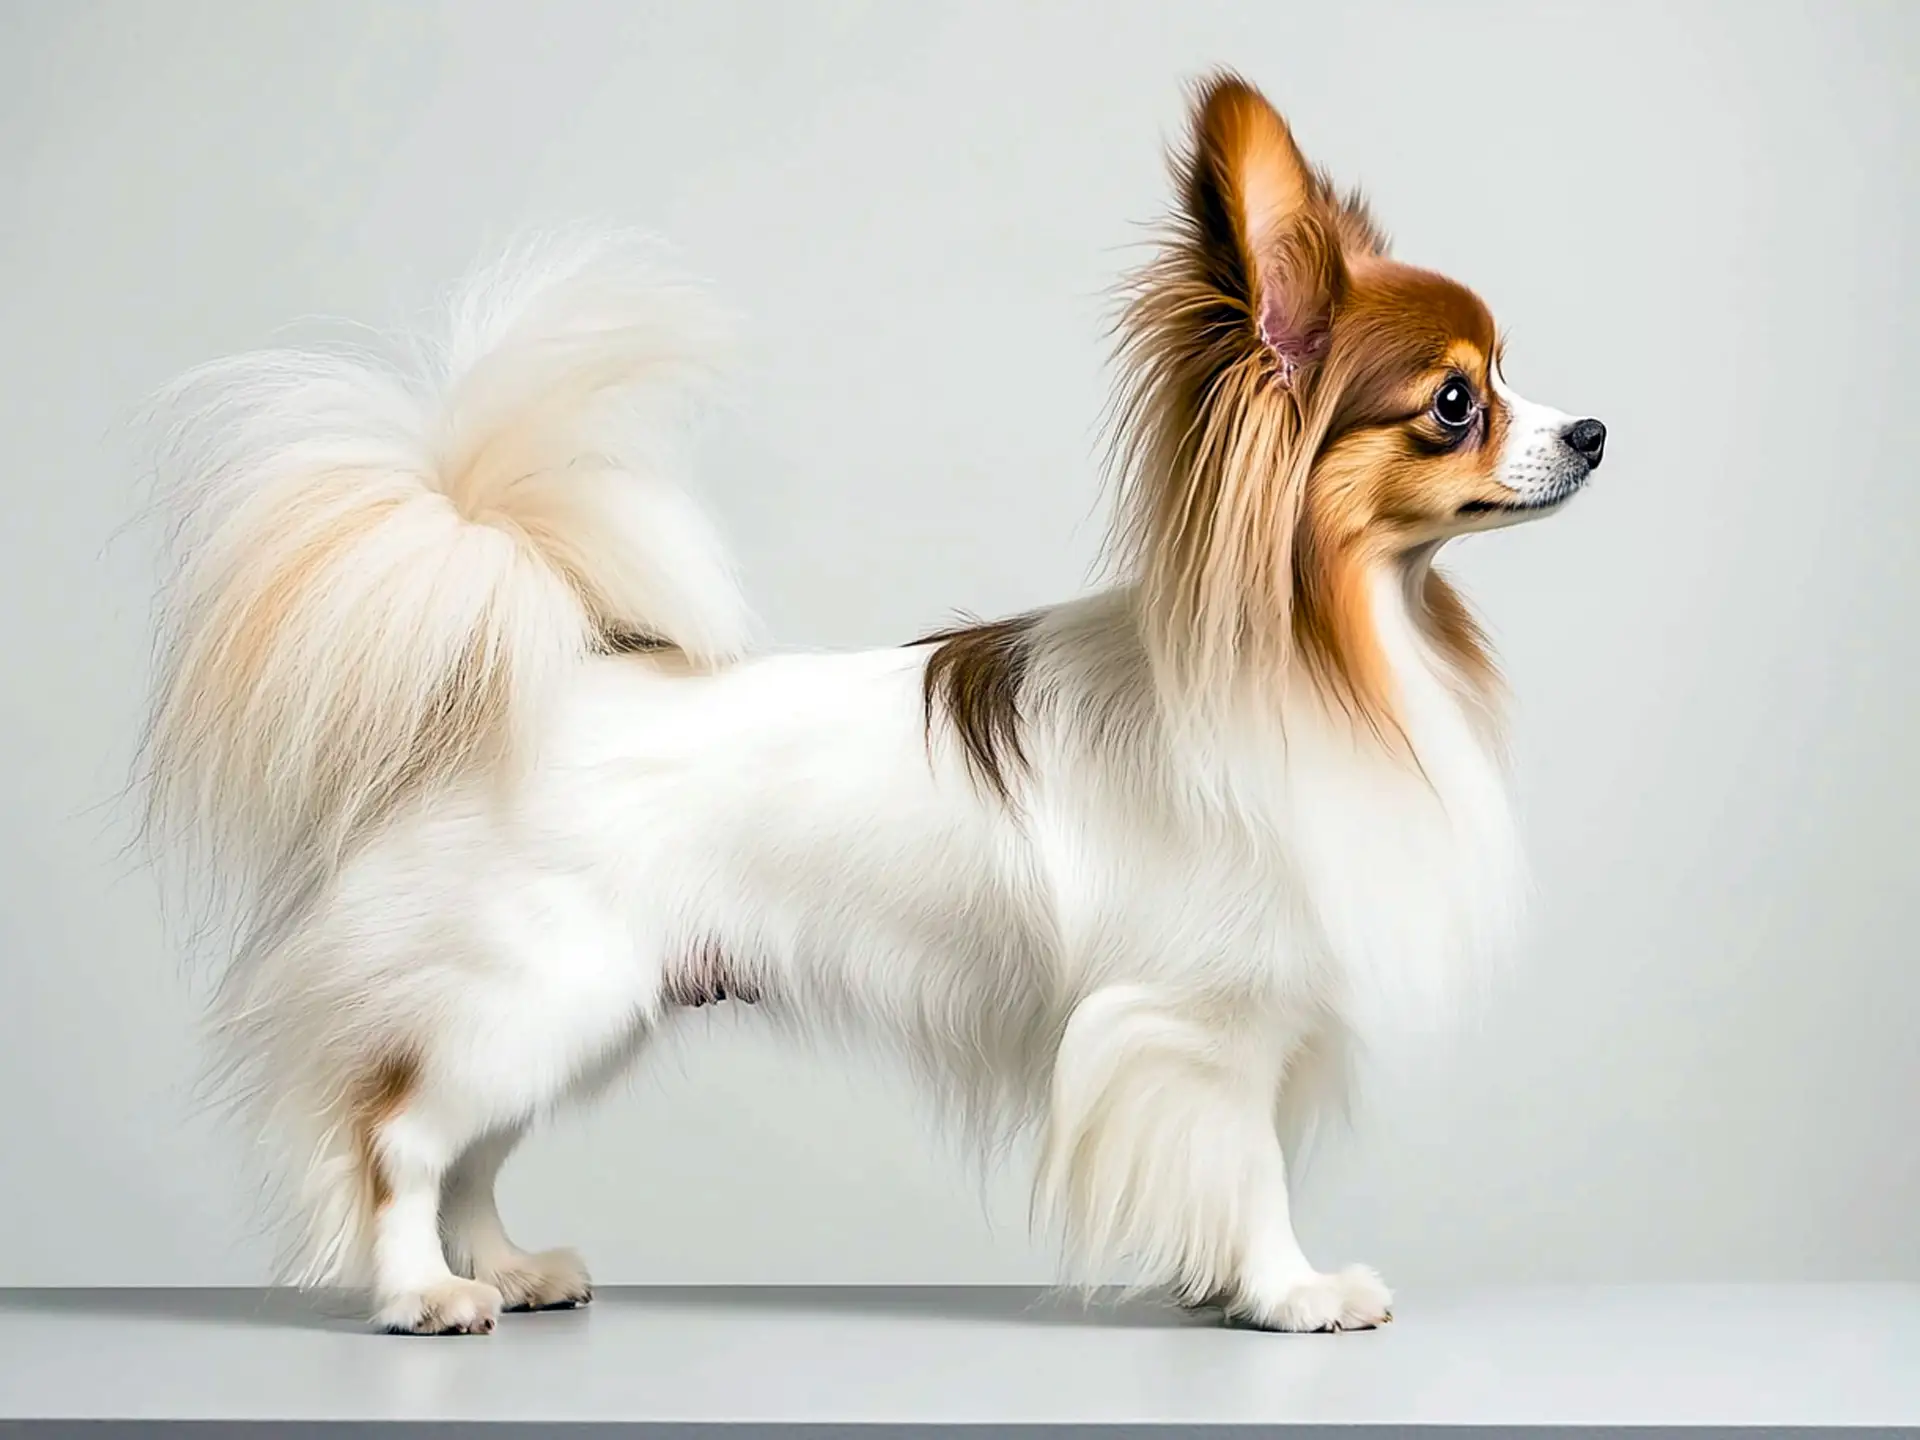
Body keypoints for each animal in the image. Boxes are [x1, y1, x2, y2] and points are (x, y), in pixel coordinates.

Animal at [139, 76, 1605, 1344]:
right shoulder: (1201, 1022)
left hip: (572, 1009)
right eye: (1456, 403)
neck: (1334, 647)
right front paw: (1289, 1291)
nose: (1593, 431)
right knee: (399, 1138)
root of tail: (527, 678)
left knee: (471, 1155)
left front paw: (1225, 1289)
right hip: (535, 989)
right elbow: (1250, 1171)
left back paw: (504, 1266)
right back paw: (423, 1296)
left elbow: (1230, 1172)